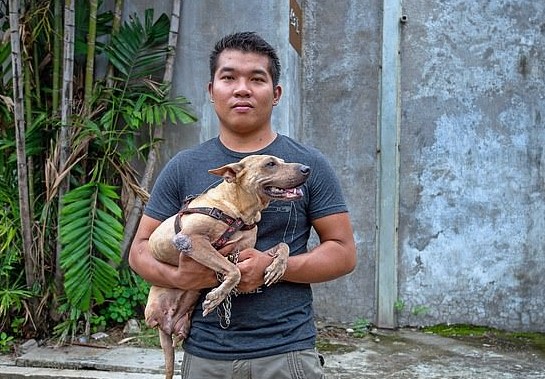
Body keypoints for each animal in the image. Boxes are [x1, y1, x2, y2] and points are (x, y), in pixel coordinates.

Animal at [144, 155, 308, 379]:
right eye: (270, 164)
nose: (307, 169)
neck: (238, 210)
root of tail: (166, 326)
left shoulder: (245, 251)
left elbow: (283, 245)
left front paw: (277, 267)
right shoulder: (191, 240)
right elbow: (234, 271)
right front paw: (216, 297)